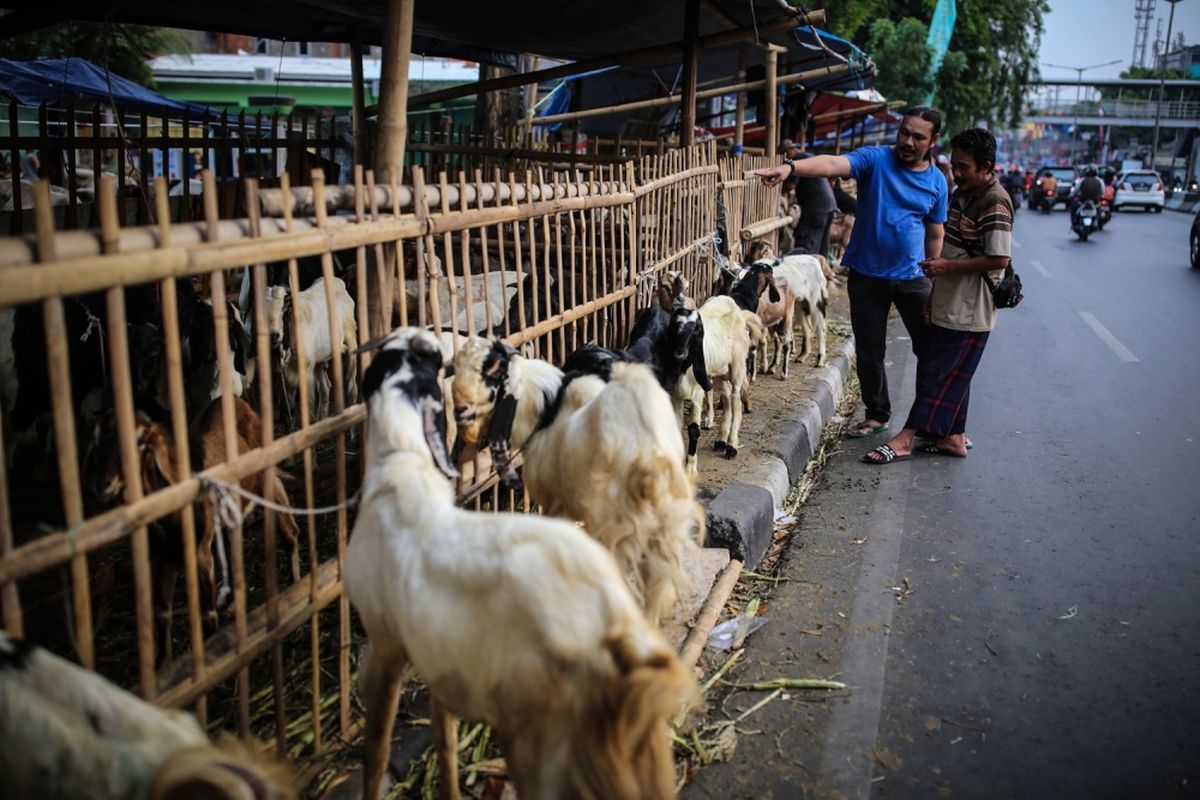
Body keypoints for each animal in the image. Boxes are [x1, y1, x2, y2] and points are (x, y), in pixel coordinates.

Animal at [93, 398, 300, 666]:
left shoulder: (200, 552)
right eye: (99, 437)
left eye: (139, 441)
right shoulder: (162, 558)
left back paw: (295, 586)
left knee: (289, 530)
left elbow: (207, 615)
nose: (103, 484)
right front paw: (163, 663)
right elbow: (162, 612)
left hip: (266, 477)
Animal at [271, 278, 360, 422]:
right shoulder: (287, 375)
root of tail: (339, 282)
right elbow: (289, 408)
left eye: (282, 310)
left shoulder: (306, 372)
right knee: (325, 388)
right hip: (320, 358)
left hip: (351, 336)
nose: (274, 335)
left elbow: (308, 407)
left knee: (351, 385)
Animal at [453, 338, 705, 623]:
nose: (460, 410)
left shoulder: (555, 503)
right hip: (666, 523)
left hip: (616, 526)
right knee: (657, 579)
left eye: (487, 372)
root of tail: (648, 451)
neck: (544, 411)